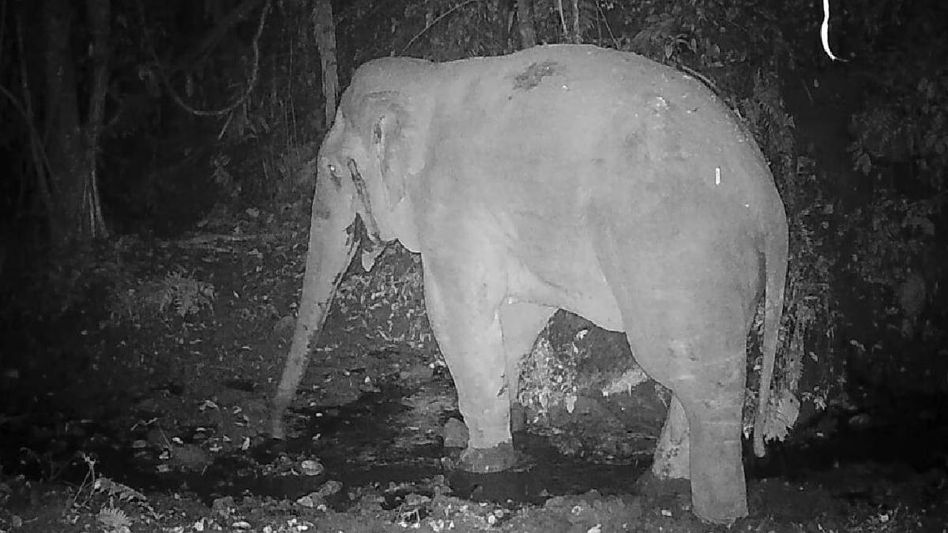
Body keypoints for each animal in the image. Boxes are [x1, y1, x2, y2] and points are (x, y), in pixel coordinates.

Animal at [271, 44, 788, 524]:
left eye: (333, 172)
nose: (275, 430)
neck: (427, 81)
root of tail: (770, 203)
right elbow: (519, 315)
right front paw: (489, 430)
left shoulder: (453, 209)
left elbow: (456, 313)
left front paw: (478, 461)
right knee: (697, 369)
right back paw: (661, 487)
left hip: (679, 260)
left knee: (695, 377)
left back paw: (717, 513)